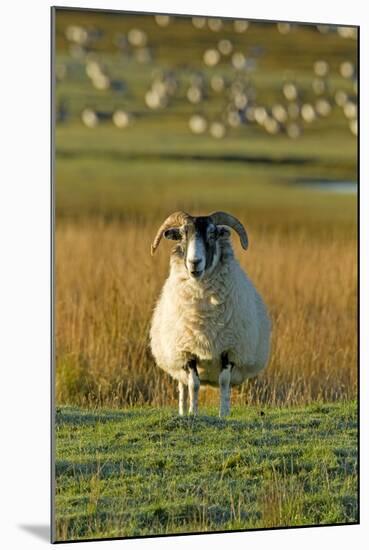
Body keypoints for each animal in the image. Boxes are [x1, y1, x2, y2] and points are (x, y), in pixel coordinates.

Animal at [147, 211, 270, 418]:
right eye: (182, 235)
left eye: (212, 234)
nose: (194, 262)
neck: (204, 319)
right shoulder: (187, 350)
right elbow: (193, 384)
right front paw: (192, 413)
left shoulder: (229, 350)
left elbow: (224, 382)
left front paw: (223, 414)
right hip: (176, 360)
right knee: (182, 386)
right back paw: (182, 411)